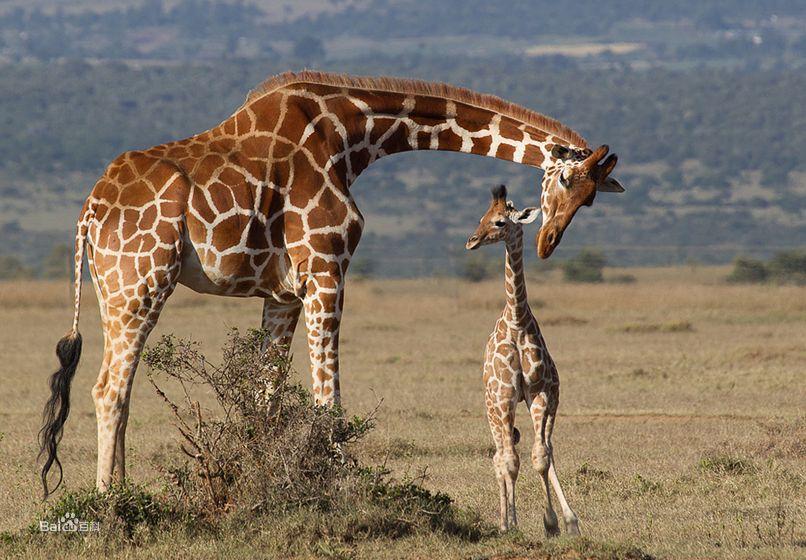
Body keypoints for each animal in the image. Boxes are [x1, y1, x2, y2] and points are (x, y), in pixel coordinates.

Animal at [39, 70, 624, 494]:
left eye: (591, 199)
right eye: (564, 180)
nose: (548, 242)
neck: (353, 136)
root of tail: (89, 212)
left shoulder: (282, 292)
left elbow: (267, 397)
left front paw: (268, 484)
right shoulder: (326, 266)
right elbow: (328, 401)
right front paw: (338, 487)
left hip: (115, 289)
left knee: (119, 388)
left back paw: (123, 489)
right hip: (141, 282)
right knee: (108, 388)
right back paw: (110, 502)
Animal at [468, 186, 580, 536]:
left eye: (500, 222)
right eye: (482, 217)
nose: (472, 240)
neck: (517, 321)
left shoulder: (542, 393)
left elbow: (541, 457)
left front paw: (557, 522)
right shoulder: (505, 397)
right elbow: (511, 462)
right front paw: (512, 524)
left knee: (539, 450)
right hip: (492, 407)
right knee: (500, 455)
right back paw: (505, 521)